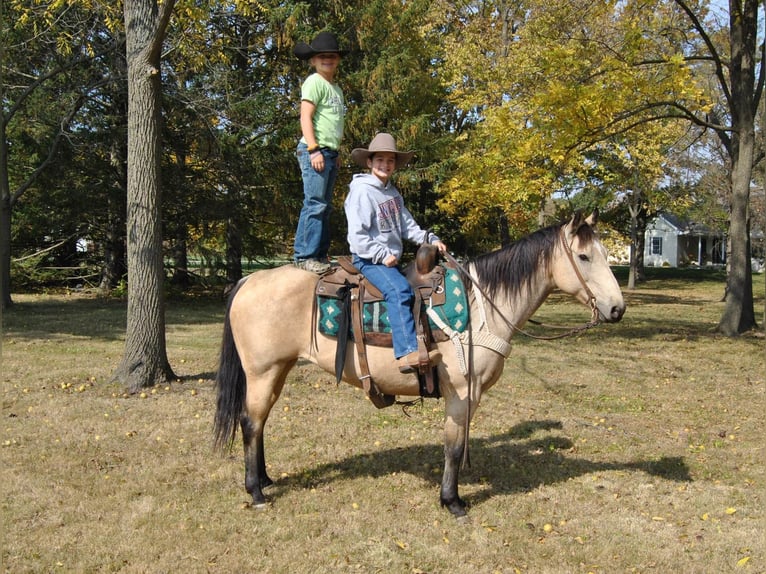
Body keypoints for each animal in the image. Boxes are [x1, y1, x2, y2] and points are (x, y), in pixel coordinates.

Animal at [213, 213, 628, 520]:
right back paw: (256, 491)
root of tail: (249, 279)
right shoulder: (461, 394)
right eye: (584, 257)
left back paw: (265, 479)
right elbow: (453, 447)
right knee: (250, 422)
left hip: (278, 370)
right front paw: (452, 501)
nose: (617, 309)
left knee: (260, 421)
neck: (483, 307)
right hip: (262, 371)